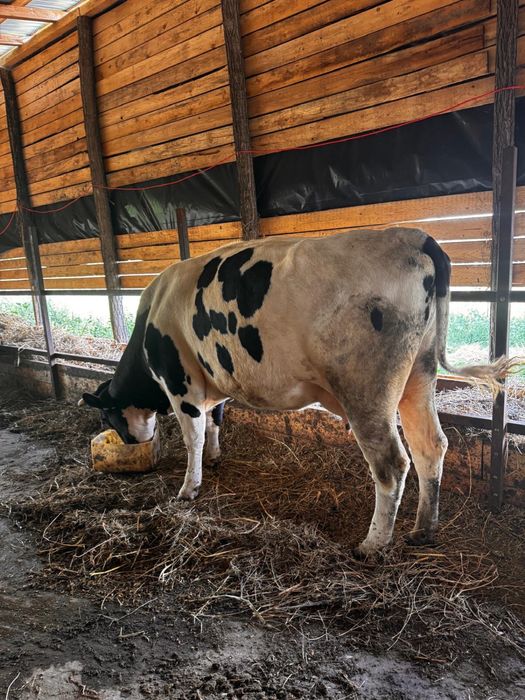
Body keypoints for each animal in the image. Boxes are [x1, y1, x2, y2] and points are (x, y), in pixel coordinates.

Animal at [79, 228, 513, 557]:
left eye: (106, 414)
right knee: (430, 447)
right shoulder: (214, 380)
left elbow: (194, 438)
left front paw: (188, 488)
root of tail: (416, 237)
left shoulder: (180, 381)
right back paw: (424, 530)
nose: (130, 441)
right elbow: (216, 420)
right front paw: (216, 458)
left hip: (366, 390)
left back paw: (372, 545)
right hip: (419, 376)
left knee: (392, 463)